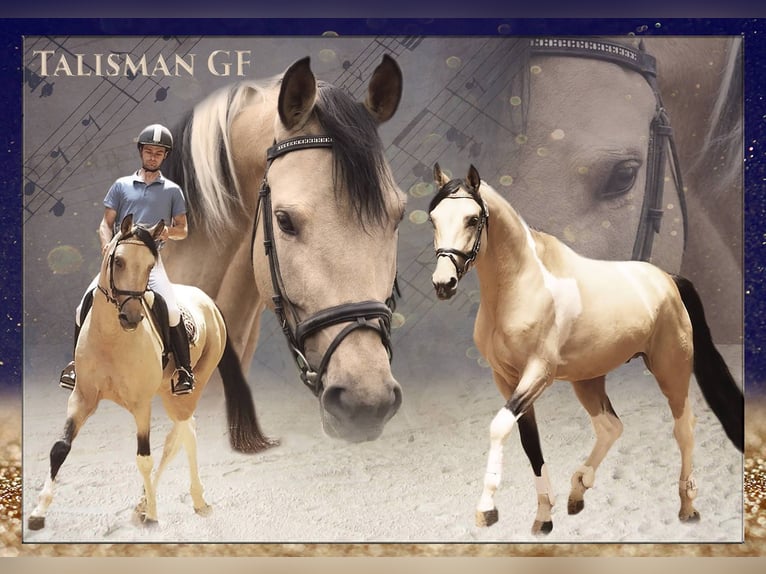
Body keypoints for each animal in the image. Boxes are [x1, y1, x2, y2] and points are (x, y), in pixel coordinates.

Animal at [27, 216, 276, 532]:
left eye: (149, 266)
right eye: (118, 261)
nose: (131, 317)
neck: (110, 339)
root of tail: (208, 301)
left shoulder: (141, 405)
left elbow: (144, 458)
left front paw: (154, 515)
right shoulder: (81, 397)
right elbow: (60, 447)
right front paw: (38, 512)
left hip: (188, 389)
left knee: (177, 437)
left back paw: (179, 502)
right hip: (167, 392)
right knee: (185, 430)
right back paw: (162, 502)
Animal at [428, 164, 740, 536]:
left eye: (473, 219)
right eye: (433, 218)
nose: (443, 284)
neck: (518, 288)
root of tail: (667, 279)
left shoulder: (538, 374)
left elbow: (499, 426)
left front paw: (487, 508)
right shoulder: (506, 378)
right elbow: (529, 442)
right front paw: (544, 516)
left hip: (671, 370)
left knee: (684, 428)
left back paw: (687, 506)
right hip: (588, 379)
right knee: (610, 426)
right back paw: (578, 491)